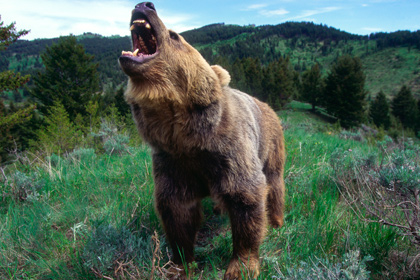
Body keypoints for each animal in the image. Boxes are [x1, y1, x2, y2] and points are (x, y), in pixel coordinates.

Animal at [119, 2, 286, 280]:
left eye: (174, 35)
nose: (144, 5)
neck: (187, 135)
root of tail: (268, 106)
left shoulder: (230, 152)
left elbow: (247, 198)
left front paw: (241, 265)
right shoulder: (173, 161)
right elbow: (176, 210)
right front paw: (180, 262)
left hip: (271, 142)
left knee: (274, 182)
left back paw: (276, 220)